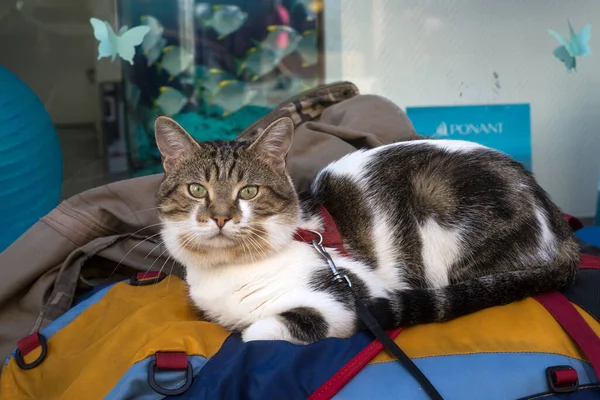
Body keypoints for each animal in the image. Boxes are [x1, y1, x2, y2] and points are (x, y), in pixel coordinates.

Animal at [155, 115, 580, 344]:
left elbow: (253, 333)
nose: (221, 216)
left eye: (248, 191)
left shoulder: (343, 300)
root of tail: (559, 224)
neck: (229, 272)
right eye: (197, 190)